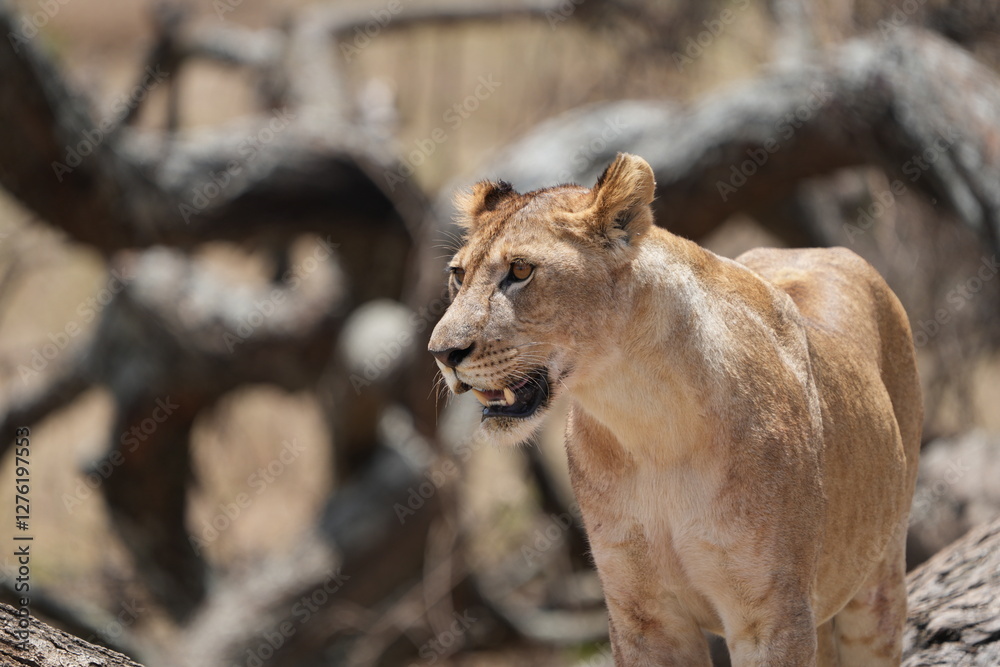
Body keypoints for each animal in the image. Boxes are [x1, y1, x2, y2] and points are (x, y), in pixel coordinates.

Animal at [428, 153, 921, 666]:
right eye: (458, 275)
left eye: (521, 270)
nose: (441, 353)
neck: (646, 422)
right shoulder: (643, 615)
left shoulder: (772, 616)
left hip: (878, 583)